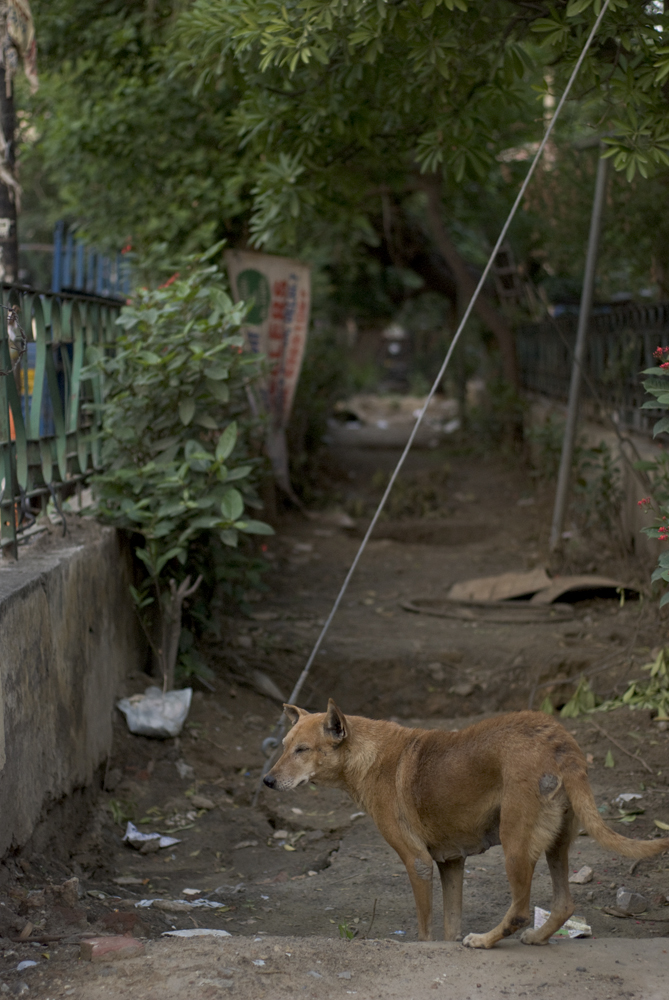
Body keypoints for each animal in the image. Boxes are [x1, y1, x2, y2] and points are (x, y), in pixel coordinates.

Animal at [264, 704, 664, 944]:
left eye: (302, 750)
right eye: (283, 746)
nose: (266, 781)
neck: (367, 756)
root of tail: (559, 740)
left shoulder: (418, 863)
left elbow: (426, 930)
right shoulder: (452, 863)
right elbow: (449, 926)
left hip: (514, 845)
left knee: (521, 912)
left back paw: (486, 940)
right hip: (555, 846)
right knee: (564, 904)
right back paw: (536, 938)